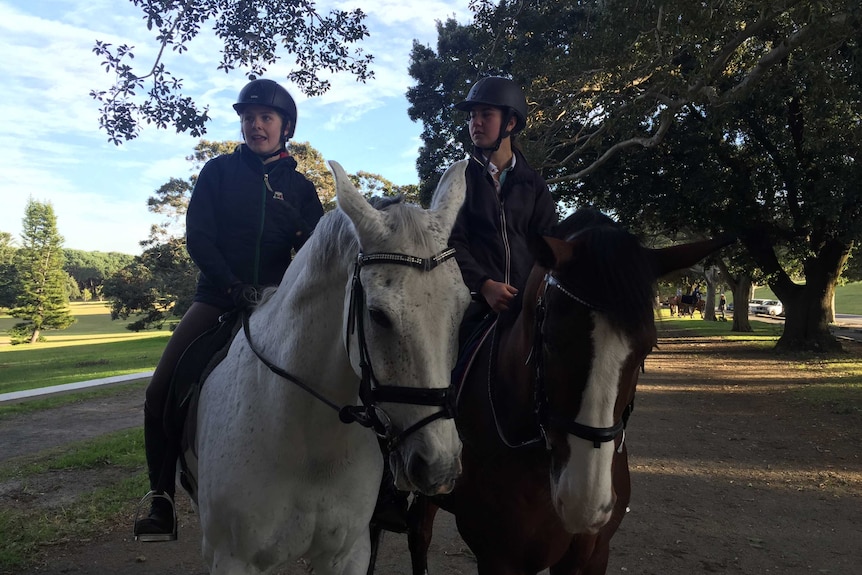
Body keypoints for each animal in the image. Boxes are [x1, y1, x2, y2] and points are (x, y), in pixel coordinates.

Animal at [190, 159, 472, 575]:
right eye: (378, 315)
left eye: (463, 309)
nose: (439, 468)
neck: (311, 447)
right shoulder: (232, 559)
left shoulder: (348, 554)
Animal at [408, 210, 732, 575]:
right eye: (549, 338)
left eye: (646, 350)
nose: (584, 501)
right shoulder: (499, 559)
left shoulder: (591, 554)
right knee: (419, 534)